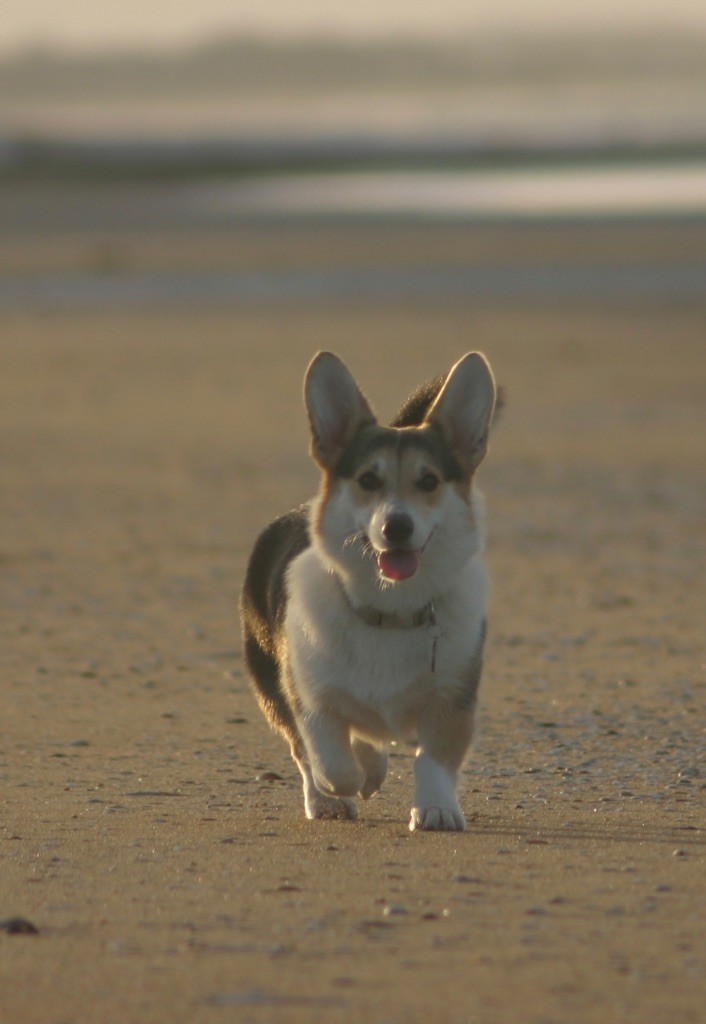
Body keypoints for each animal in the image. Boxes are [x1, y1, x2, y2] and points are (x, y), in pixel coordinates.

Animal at [240, 352, 495, 831]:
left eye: (429, 481)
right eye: (367, 480)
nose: (397, 527)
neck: (391, 610)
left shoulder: (453, 697)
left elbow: (432, 760)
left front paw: (436, 809)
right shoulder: (309, 698)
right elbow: (332, 763)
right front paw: (353, 782)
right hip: (270, 684)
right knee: (306, 754)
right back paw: (330, 799)